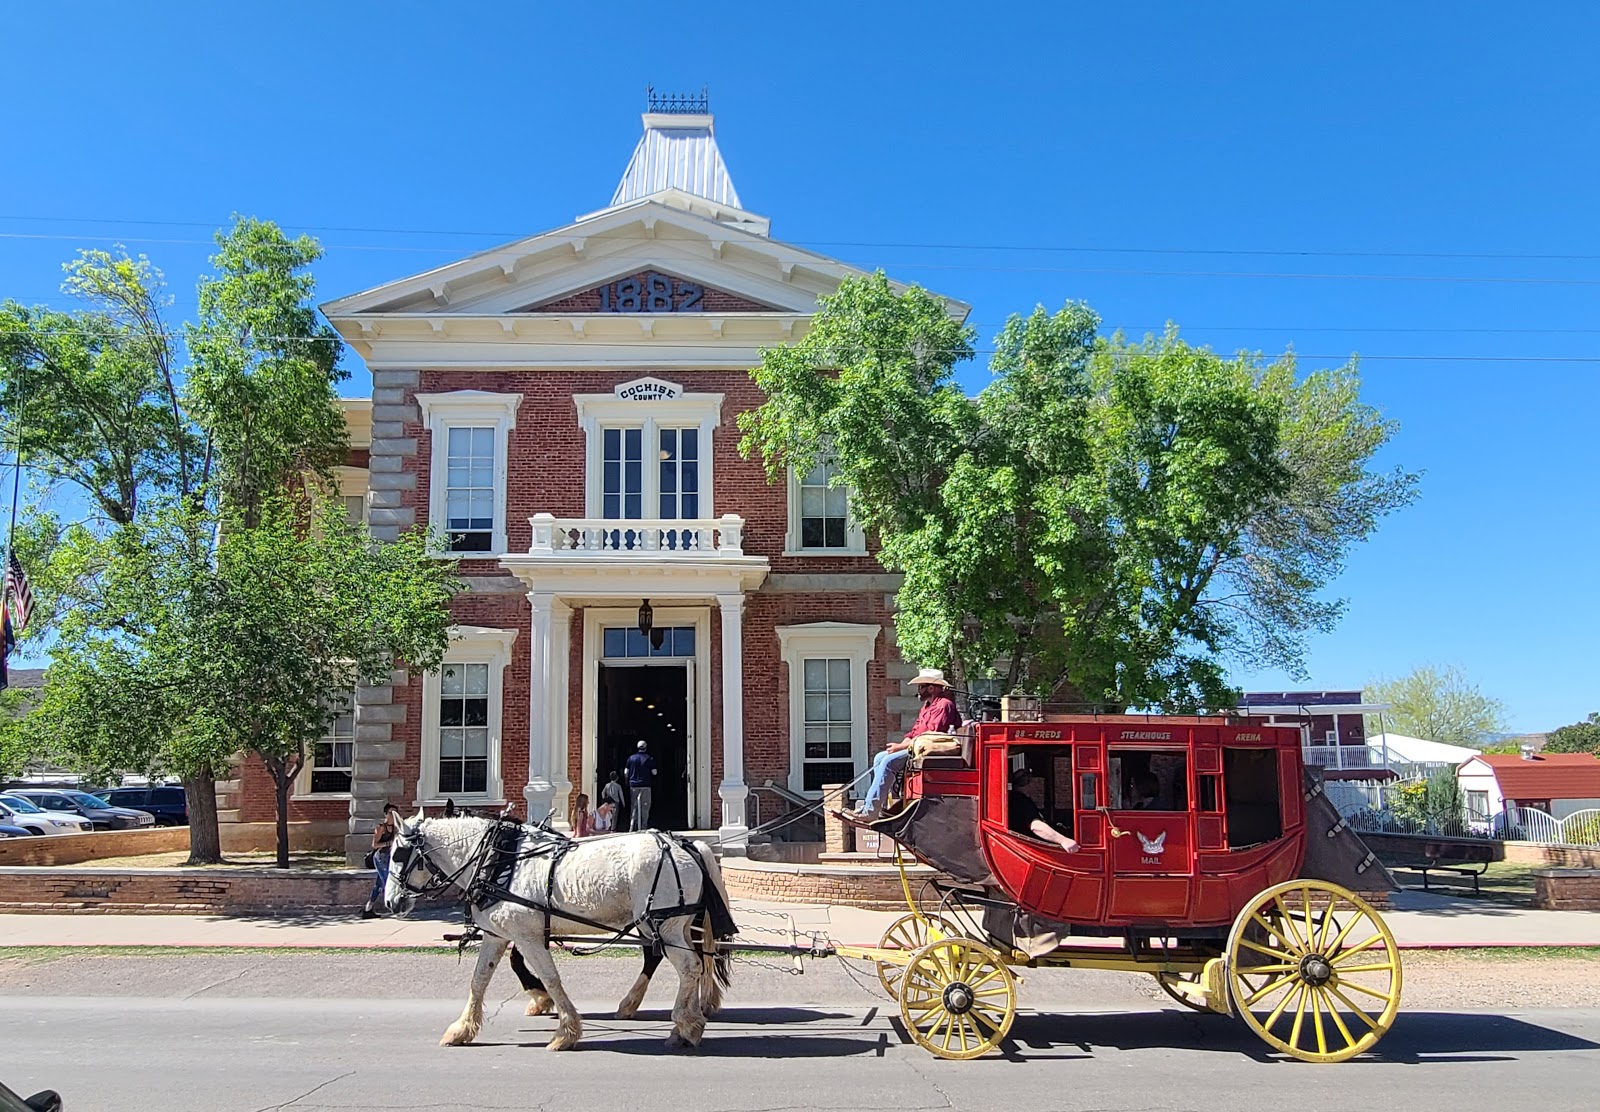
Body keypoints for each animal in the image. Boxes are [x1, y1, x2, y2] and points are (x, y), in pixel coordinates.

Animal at [387, 812, 736, 1049]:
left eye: (397, 854)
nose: (390, 901)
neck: (498, 862)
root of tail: (685, 845)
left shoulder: (526, 936)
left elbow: (551, 978)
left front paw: (565, 1030)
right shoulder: (498, 934)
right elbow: (479, 980)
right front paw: (462, 1029)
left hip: (664, 924)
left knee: (688, 967)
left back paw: (685, 1026)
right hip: (671, 924)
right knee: (692, 963)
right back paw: (686, 1019)